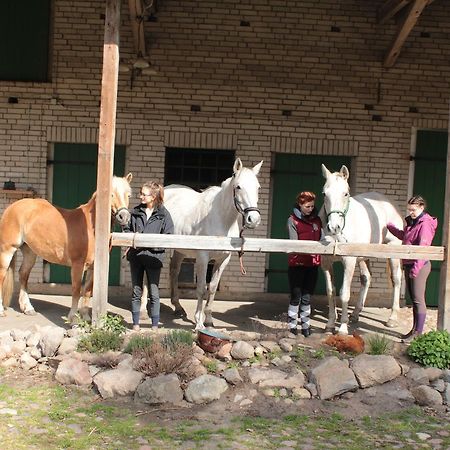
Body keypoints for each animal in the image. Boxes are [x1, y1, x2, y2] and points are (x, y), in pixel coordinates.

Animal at [0, 174, 134, 322]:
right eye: (111, 194)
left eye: (128, 195)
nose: (124, 217)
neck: (90, 227)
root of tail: (12, 207)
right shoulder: (77, 265)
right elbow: (76, 290)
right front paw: (73, 318)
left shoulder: (93, 267)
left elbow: (87, 291)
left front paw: (85, 317)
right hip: (7, 250)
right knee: (2, 275)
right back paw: (2, 310)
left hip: (30, 252)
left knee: (23, 275)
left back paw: (28, 308)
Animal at [158, 159, 262, 330]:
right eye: (238, 186)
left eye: (258, 187)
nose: (253, 219)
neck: (221, 218)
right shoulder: (203, 258)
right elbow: (201, 288)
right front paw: (198, 322)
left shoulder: (223, 260)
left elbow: (212, 288)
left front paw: (208, 320)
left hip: (181, 250)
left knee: (174, 271)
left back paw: (178, 307)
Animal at [320, 164, 404, 334]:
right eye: (324, 193)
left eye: (346, 193)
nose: (334, 227)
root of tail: (389, 203)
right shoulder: (326, 262)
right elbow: (330, 292)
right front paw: (330, 324)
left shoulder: (349, 261)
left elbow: (344, 293)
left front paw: (342, 327)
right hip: (364, 255)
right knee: (367, 278)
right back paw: (356, 313)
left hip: (393, 249)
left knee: (396, 279)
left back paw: (392, 318)